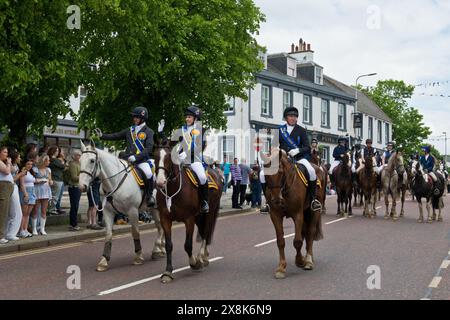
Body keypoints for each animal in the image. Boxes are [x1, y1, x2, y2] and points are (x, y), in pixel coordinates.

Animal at [79, 141, 165, 272]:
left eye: (92, 160)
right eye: (79, 160)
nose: (82, 186)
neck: (115, 181)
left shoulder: (132, 211)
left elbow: (135, 232)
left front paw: (138, 256)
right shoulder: (108, 212)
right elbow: (108, 235)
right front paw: (104, 261)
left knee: (162, 227)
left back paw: (157, 249)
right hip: (153, 209)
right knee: (160, 227)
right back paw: (160, 249)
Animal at [154, 142, 222, 282]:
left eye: (169, 157)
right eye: (155, 156)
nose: (160, 182)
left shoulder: (188, 219)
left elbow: (188, 245)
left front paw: (195, 263)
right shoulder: (165, 219)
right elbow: (169, 246)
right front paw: (168, 272)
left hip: (209, 212)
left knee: (206, 232)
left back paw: (202, 257)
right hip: (199, 216)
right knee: (202, 230)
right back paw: (204, 256)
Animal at [260, 149, 324, 278]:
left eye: (280, 172)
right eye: (266, 175)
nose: (276, 200)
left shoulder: (298, 214)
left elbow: (297, 241)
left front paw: (299, 261)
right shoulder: (275, 215)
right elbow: (280, 241)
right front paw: (281, 267)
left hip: (314, 211)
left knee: (310, 232)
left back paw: (308, 260)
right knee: (305, 233)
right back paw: (309, 257)